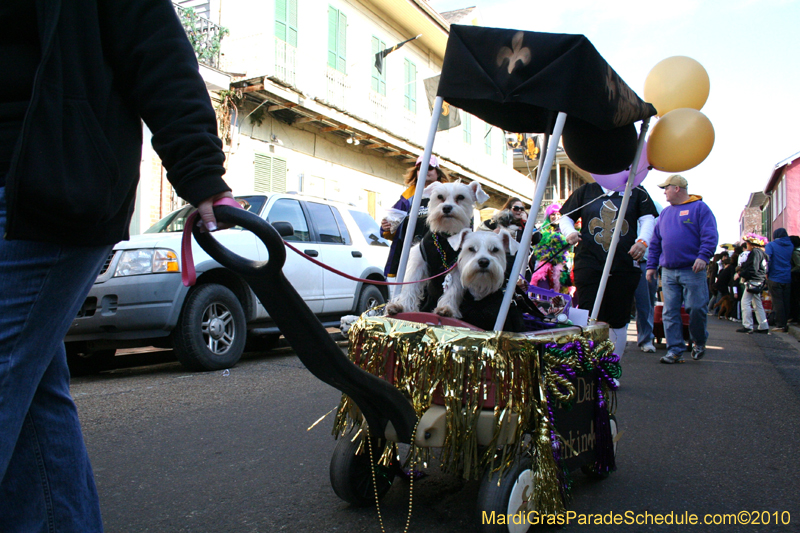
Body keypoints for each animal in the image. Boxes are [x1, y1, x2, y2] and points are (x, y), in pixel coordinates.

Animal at [386, 181, 490, 316]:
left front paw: (447, 308)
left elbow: (453, 290)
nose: (446, 208)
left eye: (461, 197)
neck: (446, 238)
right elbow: (411, 285)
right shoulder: (418, 262)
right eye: (440, 197)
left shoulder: (459, 270)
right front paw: (402, 306)